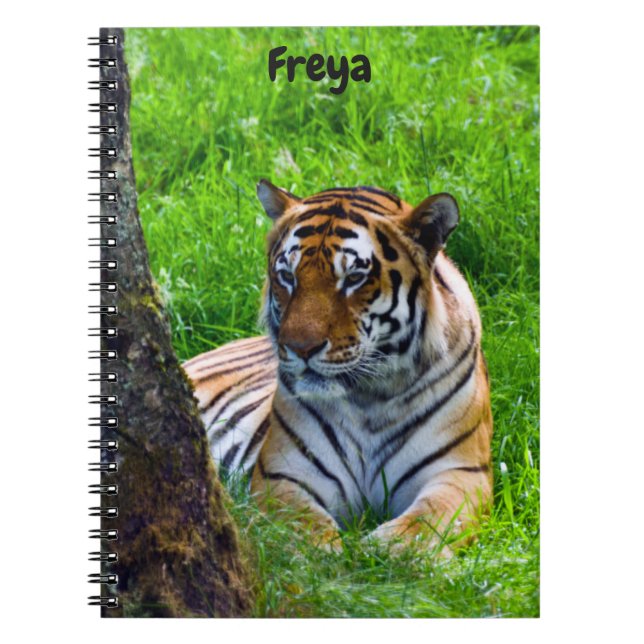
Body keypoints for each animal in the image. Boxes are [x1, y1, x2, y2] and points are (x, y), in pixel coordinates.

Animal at [183, 179, 493, 552]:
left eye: (355, 278)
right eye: (287, 276)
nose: (300, 348)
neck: (370, 397)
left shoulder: (459, 471)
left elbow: (427, 520)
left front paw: (388, 549)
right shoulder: (285, 473)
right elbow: (302, 529)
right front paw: (327, 553)